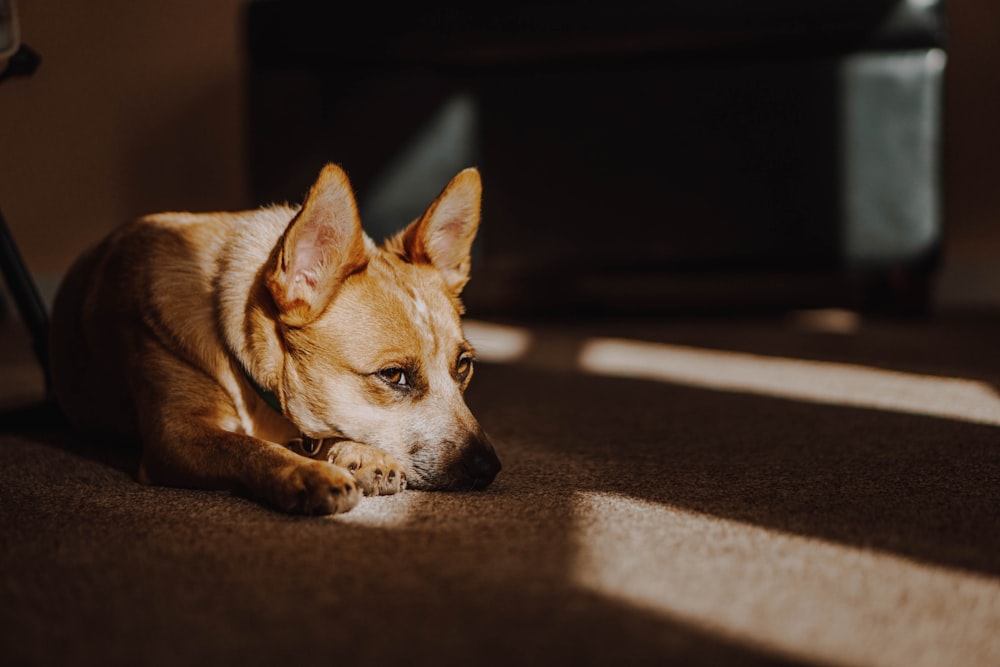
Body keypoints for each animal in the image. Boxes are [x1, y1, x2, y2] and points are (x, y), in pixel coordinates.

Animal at [48, 164, 500, 516]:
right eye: (393, 376)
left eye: (463, 366)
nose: (490, 468)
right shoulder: (175, 435)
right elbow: (248, 448)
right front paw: (307, 472)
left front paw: (359, 453)